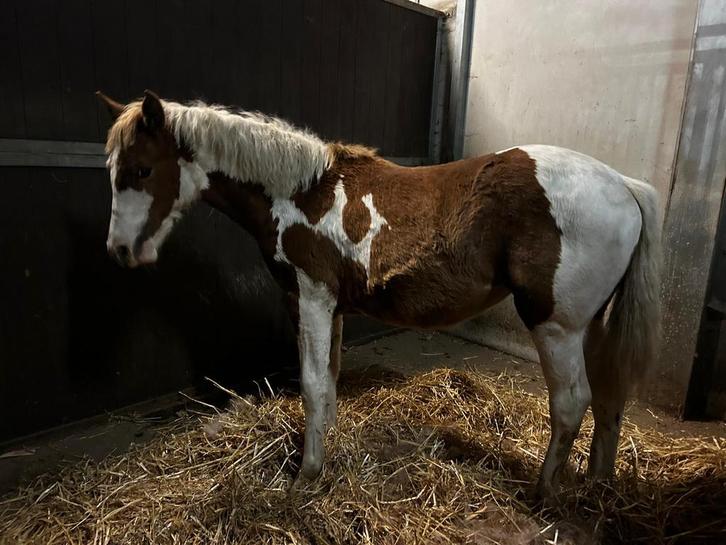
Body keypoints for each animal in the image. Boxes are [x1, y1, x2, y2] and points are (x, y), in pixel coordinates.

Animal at [96, 90, 661, 498]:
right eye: (113, 172)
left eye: (141, 170)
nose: (120, 251)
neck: (301, 191)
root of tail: (623, 184)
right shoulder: (332, 309)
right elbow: (329, 383)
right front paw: (323, 455)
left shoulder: (311, 299)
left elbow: (312, 385)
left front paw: (307, 475)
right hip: (593, 326)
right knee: (609, 398)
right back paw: (597, 486)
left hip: (556, 325)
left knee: (572, 401)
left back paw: (544, 495)